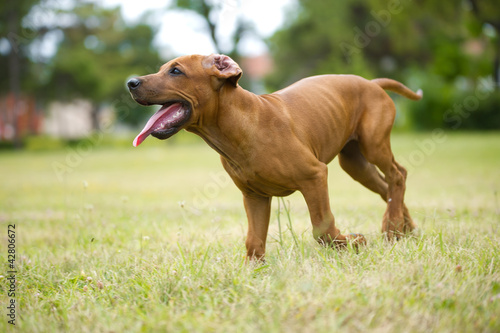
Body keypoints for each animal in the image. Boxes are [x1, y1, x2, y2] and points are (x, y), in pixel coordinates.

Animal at [128, 53, 422, 260]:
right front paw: (252, 274)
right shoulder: (254, 196)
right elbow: (254, 241)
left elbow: (322, 228)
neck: (240, 126)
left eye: (176, 71)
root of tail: (371, 83)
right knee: (387, 186)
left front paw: (352, 242)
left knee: (397, 174)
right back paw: (402, 226)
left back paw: (393, 226)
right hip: (354, 163)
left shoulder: (315, 176)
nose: (130, 82)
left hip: (373, 144)